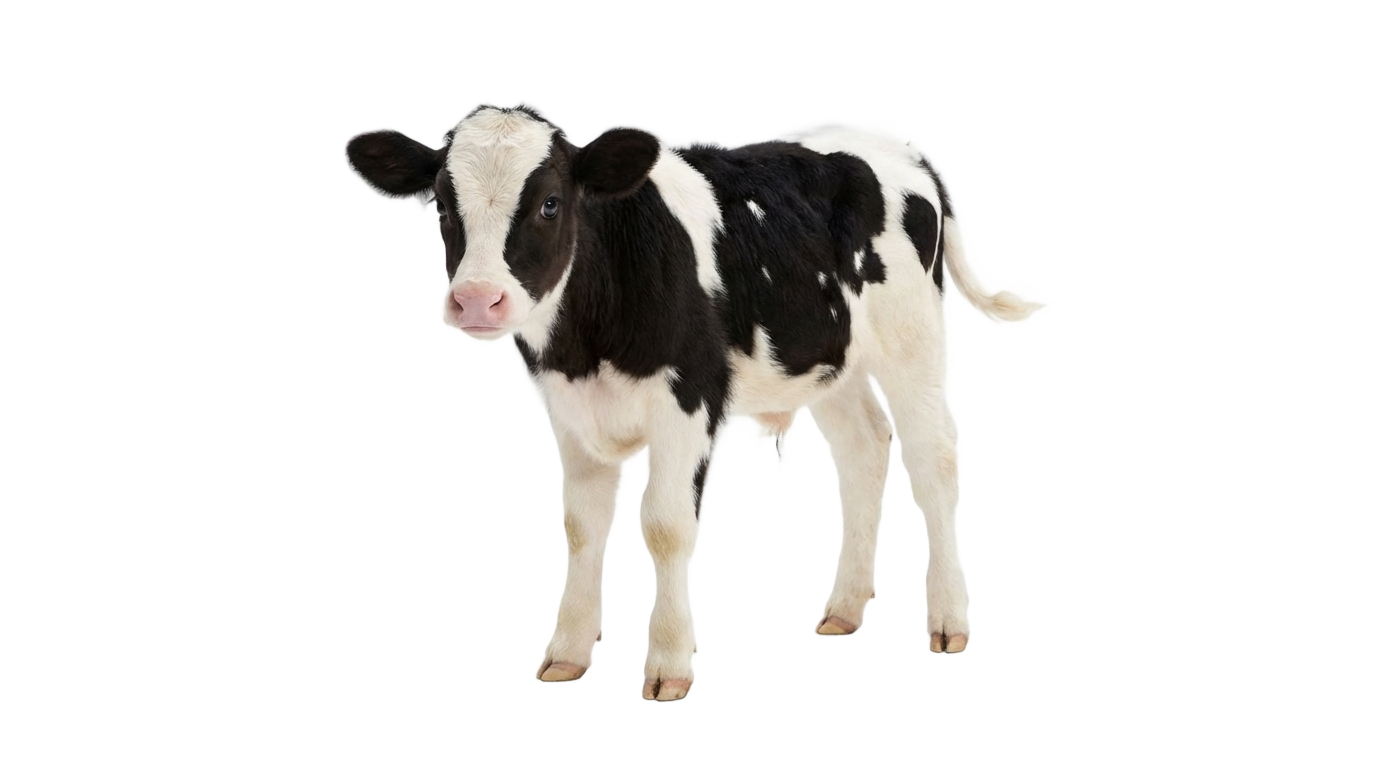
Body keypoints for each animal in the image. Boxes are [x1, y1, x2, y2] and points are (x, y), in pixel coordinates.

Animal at [344, 104, 1025, 700]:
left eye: (549, 203)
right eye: (440, 203)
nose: (478, 300)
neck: (589, 342)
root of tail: (901, 151)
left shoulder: (690, 395)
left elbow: (666, 528)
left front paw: (668, 667)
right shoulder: (569, 410)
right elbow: (580, 528)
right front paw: (566, 655)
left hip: (910, 344)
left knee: (933, 463)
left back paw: (948, 621)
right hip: (836, 363)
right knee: (862, 459)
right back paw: (844, 610)